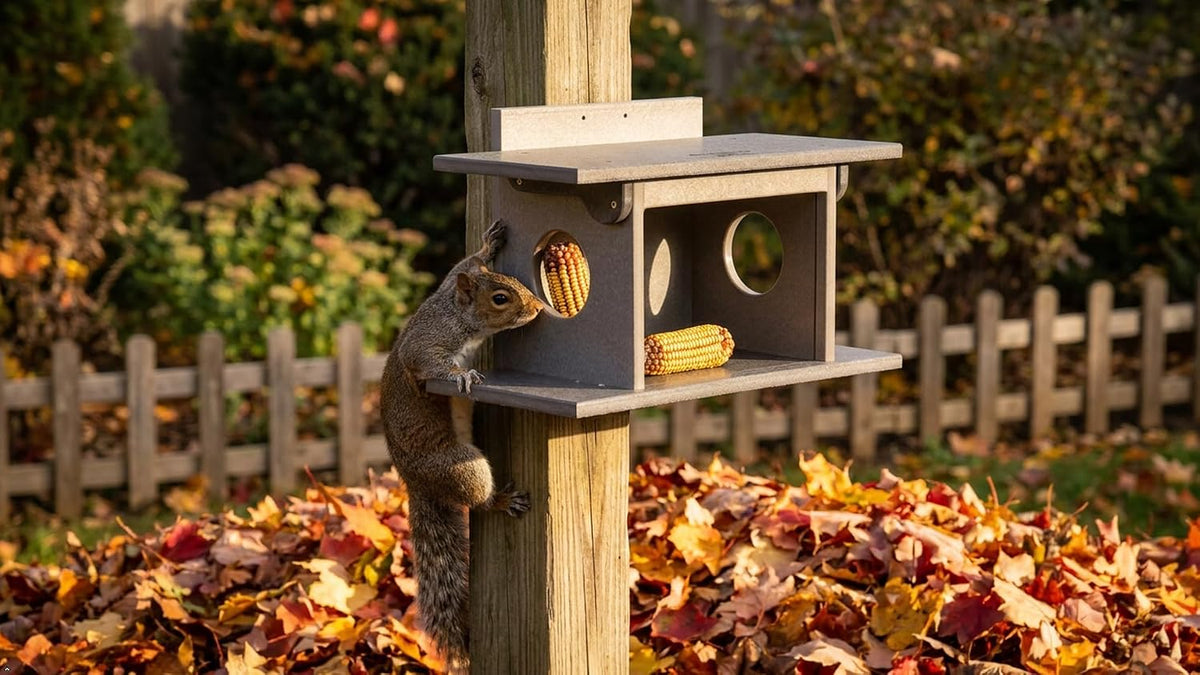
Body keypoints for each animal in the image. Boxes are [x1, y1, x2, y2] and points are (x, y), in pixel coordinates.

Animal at [379, 219, 542, 672]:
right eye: (500, 298)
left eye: (514, 281)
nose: (539, 308)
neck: (455, 313)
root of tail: (416, 482)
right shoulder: (425, 344)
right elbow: (426, 363)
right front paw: (461, 376)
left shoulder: (447, 284)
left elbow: (461, 264)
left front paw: (489, 244)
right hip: (462, 466)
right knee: (477, 500)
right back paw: (501, 501)